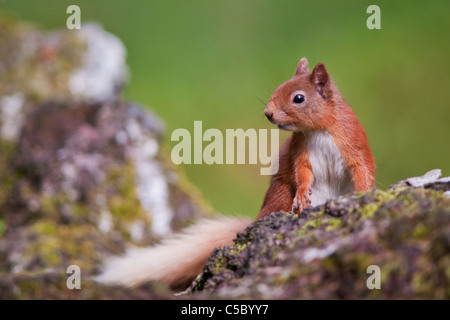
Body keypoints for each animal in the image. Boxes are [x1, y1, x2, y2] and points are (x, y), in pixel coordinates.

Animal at [97, 58, 376, 290]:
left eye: (299, 98)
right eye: (277, 88)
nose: (268, 113)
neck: (317, 130)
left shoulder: (352, 141)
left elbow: (363, 169)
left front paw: (365, 195)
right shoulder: (301, 151)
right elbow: (302, 175)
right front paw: (301, 196)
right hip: (280, 196)